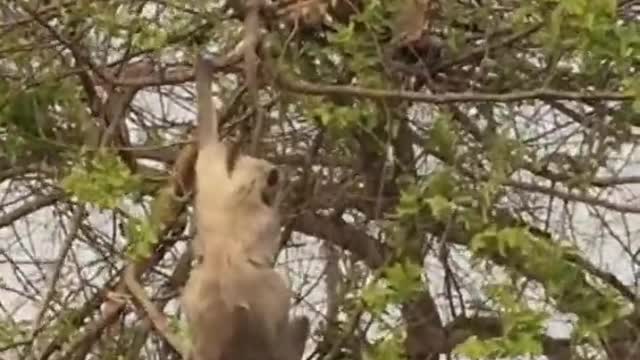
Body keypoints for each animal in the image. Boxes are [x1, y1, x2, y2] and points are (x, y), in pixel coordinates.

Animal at [180, 53, 310, 360]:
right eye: (272, 186)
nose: (274, 190)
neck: (242, 192)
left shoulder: (214, 174)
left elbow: (208, 140)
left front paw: (203, 69)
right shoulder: (267, 217)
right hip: (264, 304)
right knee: (292, 323)